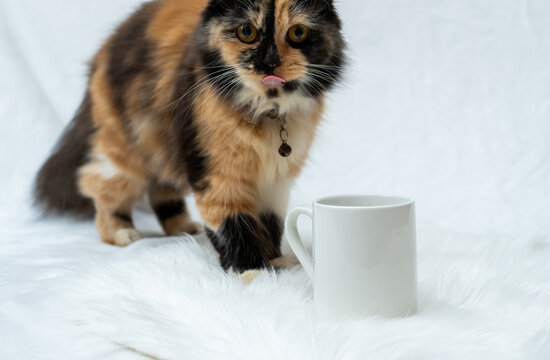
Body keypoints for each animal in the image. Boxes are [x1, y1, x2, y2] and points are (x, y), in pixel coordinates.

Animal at [33, 0, 344, 270]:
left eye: (297, 33)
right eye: (246, 32)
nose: (269, 62)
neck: (268, 110)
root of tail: (104, 50)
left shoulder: (275, 179)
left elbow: (271, 223)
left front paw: (275, 260)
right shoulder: (216, 172)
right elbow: (232, 223)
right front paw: (251, 272)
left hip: (161, 140)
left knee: (160, 187)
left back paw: (183, 228)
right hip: (127, 150)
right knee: (97, 184)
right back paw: (122, 233)